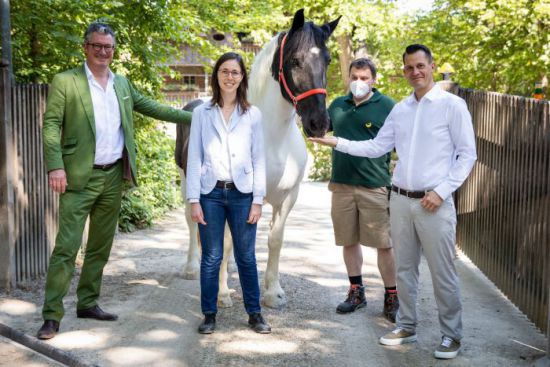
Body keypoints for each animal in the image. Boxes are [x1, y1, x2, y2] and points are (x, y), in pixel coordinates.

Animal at [177, 8, 340, 310]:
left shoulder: (287, 198)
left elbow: (274, 240)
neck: (272, 140)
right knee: (192, 221)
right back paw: (192, 267)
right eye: (295, 60)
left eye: (328, 59)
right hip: (186, 184)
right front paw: (222, 294)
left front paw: (272, 293)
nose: (319, 124)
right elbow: (226, 241)